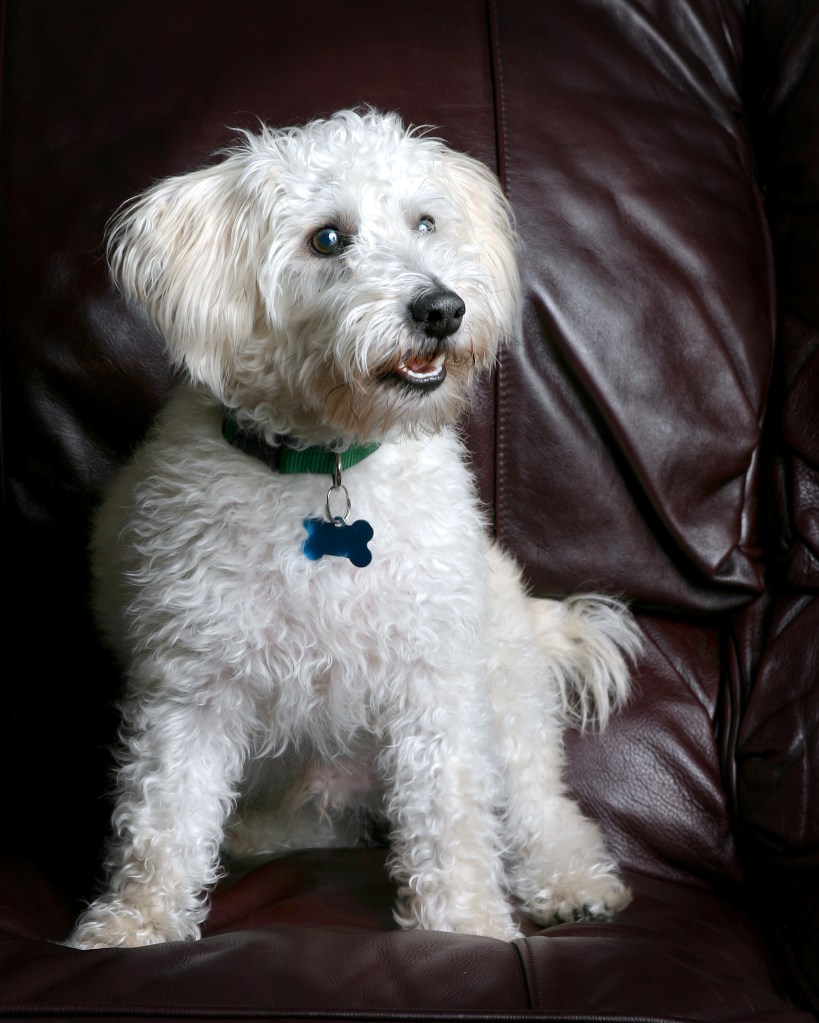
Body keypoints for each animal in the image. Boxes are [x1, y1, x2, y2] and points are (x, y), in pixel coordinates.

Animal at [66, 107, 638, 945]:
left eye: (425, 221)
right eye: (328, 238)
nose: (441, 309)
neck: (326, 459)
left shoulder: (432, 683)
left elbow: (451, 817)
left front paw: (464, 927)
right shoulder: (191, 688)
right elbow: (163, 818)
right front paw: (134, 923)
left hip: (503, 691)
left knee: (541, 805)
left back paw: (570, 881)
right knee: (315, 818)